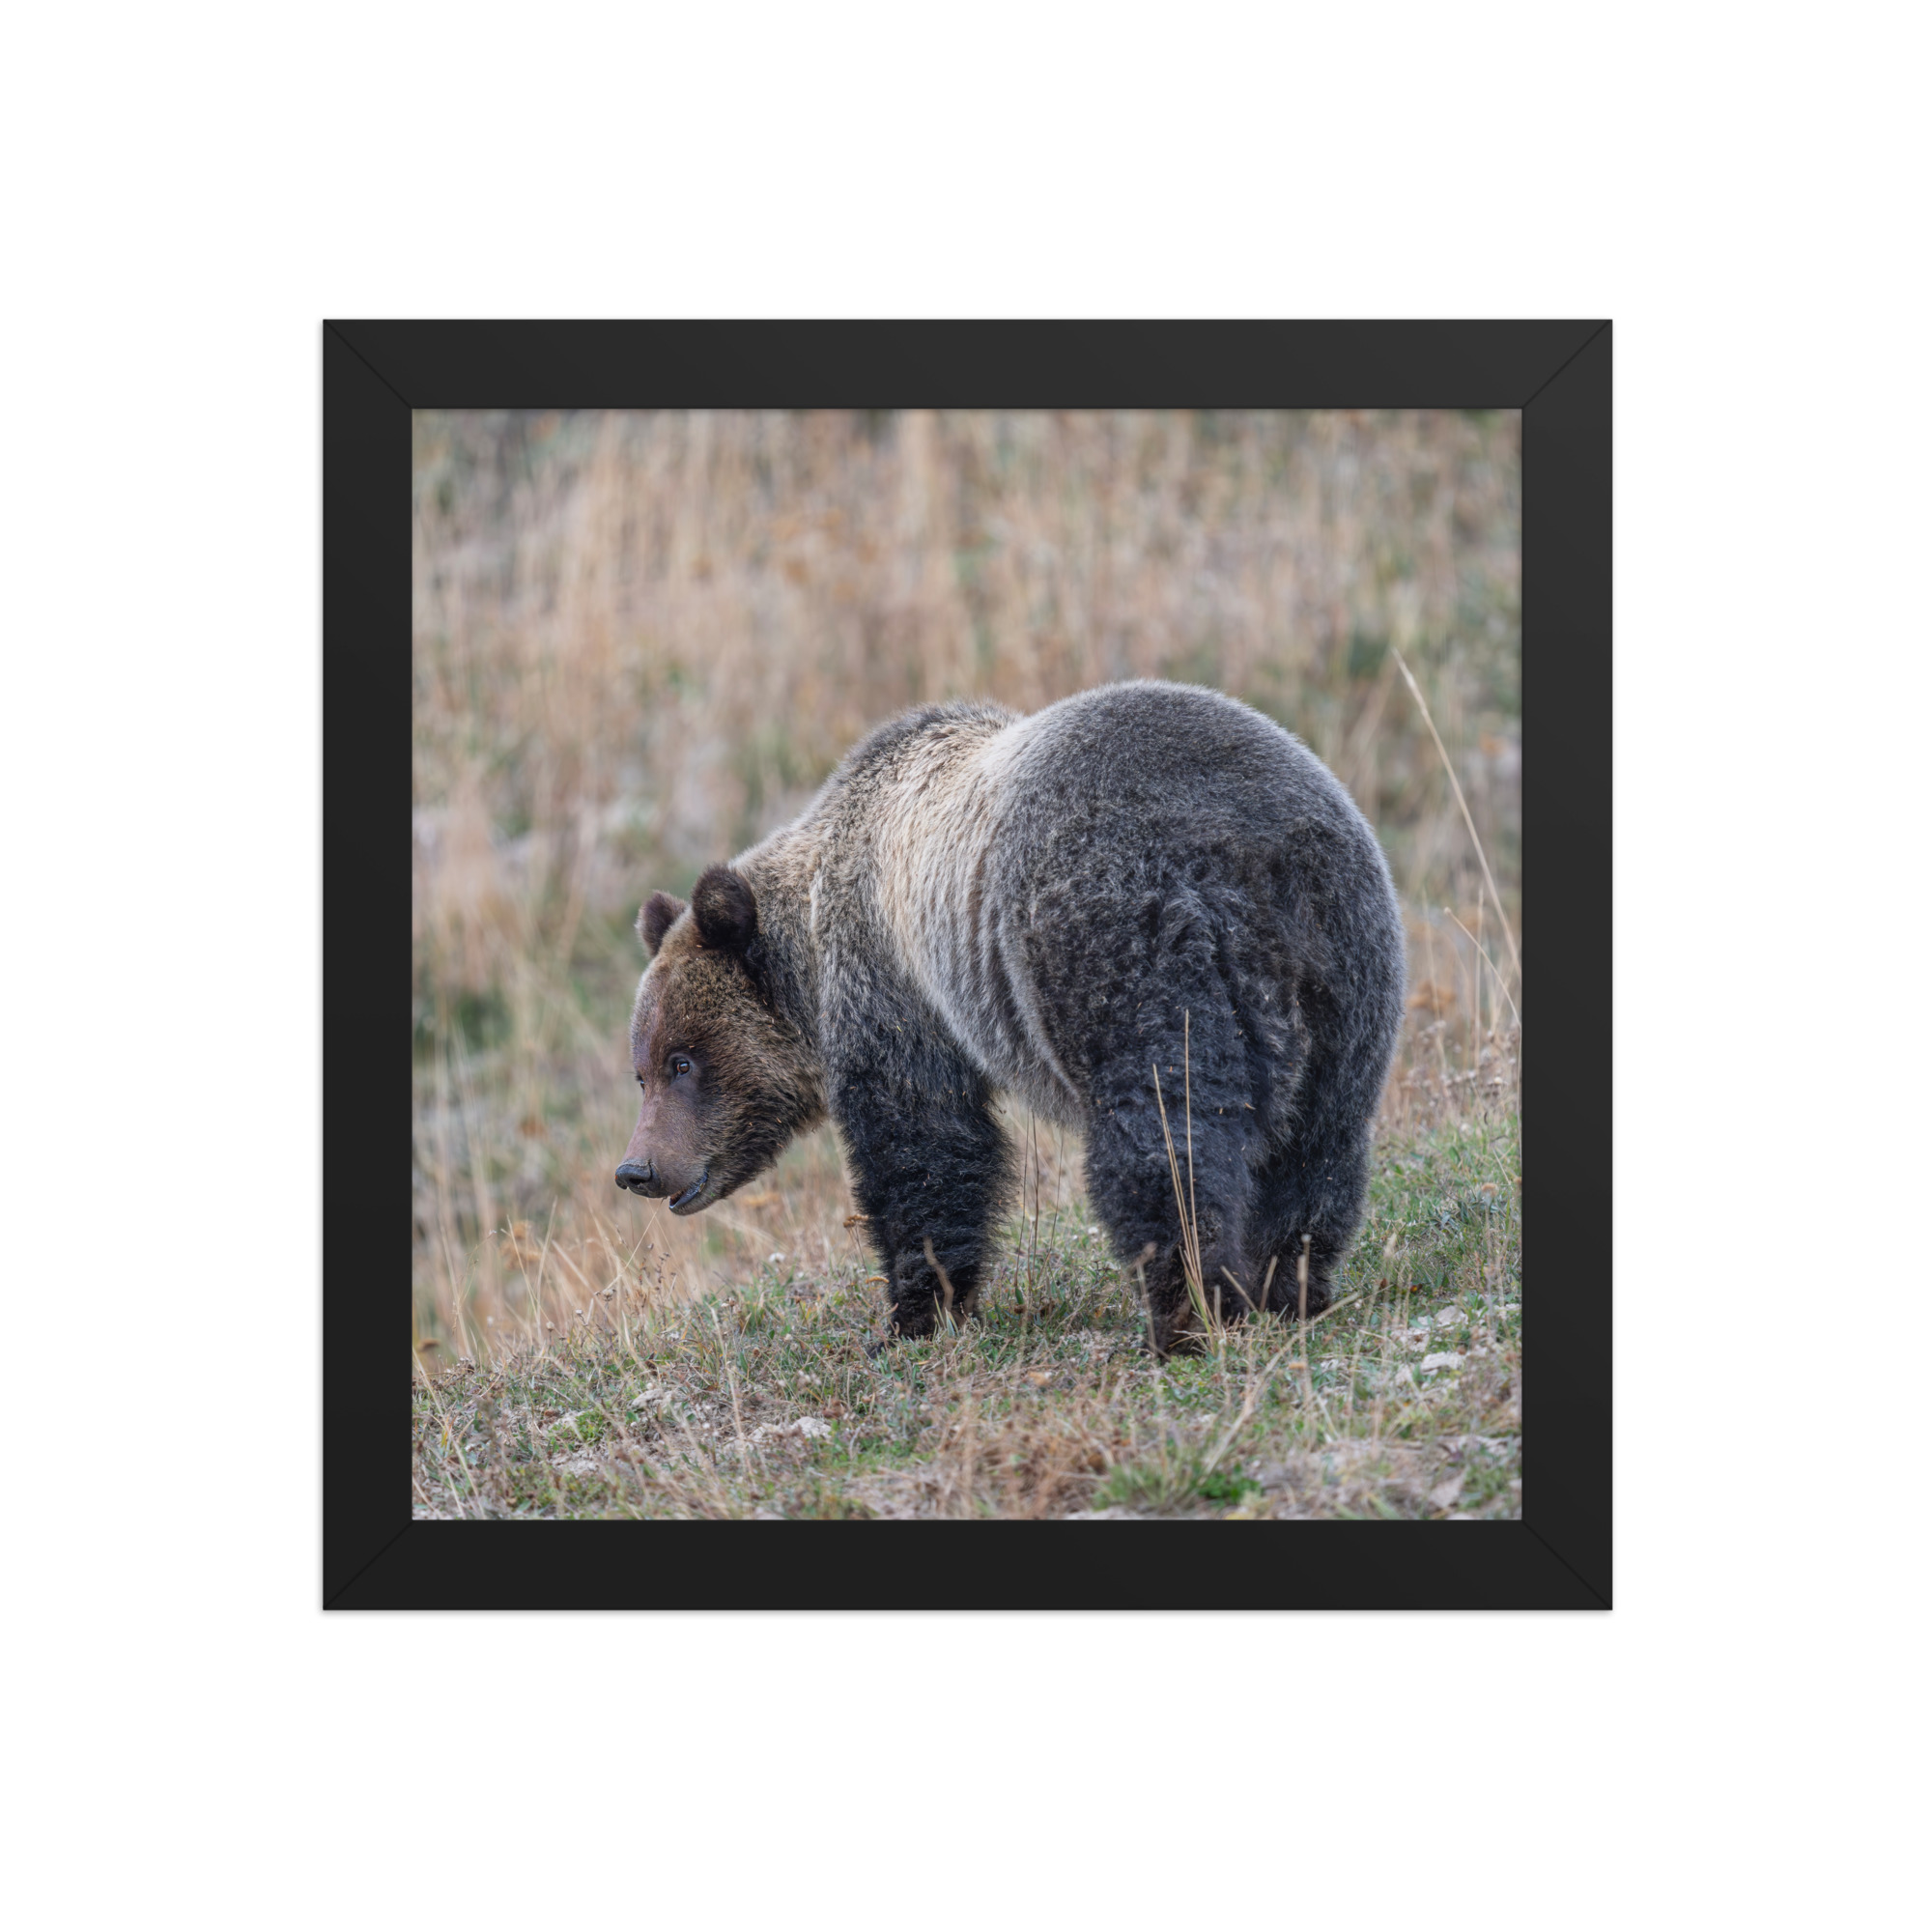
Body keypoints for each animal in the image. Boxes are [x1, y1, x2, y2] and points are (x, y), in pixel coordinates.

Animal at [615, 680, 1405, 1356]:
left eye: (683, 1061)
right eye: (642, 1070)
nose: (637, 1169)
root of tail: (1250, 855)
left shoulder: (896, 988)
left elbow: (924, 1148)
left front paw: (912, 1315)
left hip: (1122, 944)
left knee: (1165, 1138)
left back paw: (1185, 1314)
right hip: (1346, 968)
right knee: (1318, 1144)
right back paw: (1289, 1287)